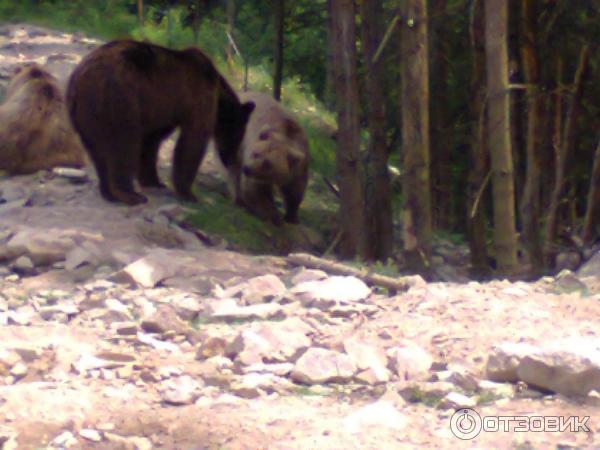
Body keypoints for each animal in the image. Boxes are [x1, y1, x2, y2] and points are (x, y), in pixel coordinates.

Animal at [67, 39, 255, 205]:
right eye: (239, 135)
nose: (230, 159)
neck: (219, 97)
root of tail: (79, 78)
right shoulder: (198, 98)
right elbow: (192, 141)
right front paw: (189, 194)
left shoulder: (163, 108)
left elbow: (152, 140)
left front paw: (154, 181)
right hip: (119, 99)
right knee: (124, 144)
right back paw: (130, 195)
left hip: (88, 115)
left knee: (98, 150)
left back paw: (108, 191)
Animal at [230, 91, 310, 225]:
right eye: (255, 153)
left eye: (267, 163)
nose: (247, 169)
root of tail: (244, 92)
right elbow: (255, 190)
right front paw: (273, 215)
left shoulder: (299, 168)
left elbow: (295, 191)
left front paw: (292, 217)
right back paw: (239, 199)